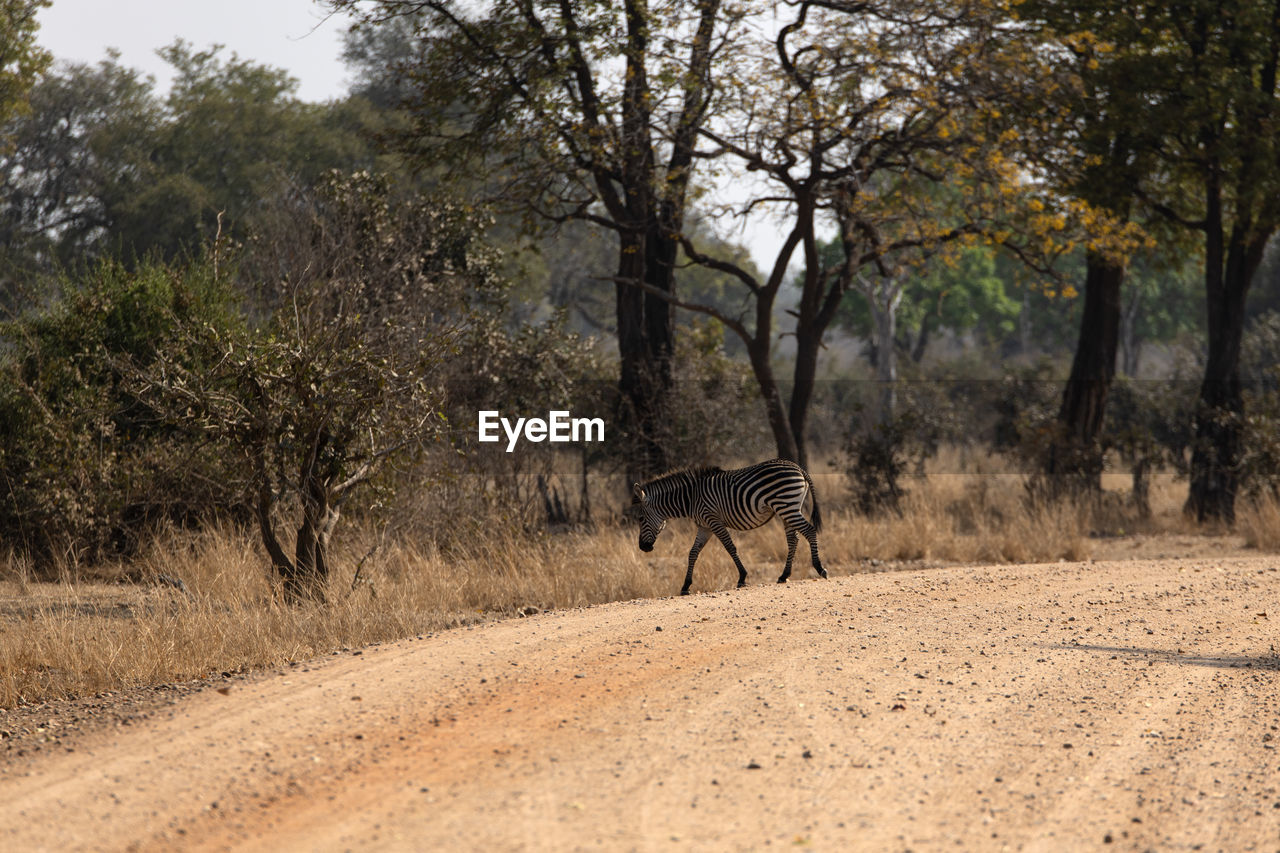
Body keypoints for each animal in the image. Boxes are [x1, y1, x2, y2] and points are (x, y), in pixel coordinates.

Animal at [632, 458, 829, 591]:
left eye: (640, 519)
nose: (643, 547)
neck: (691, 498)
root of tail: (798, 467)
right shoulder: (704, 526)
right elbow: (693, 552)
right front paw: (686, 585)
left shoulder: (713, 520)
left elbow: (729, 547)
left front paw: (742, 577)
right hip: (788, 508)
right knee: (793, 539)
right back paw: (784, 575)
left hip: (786, 505)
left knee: (809, 530)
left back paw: (819, 568)